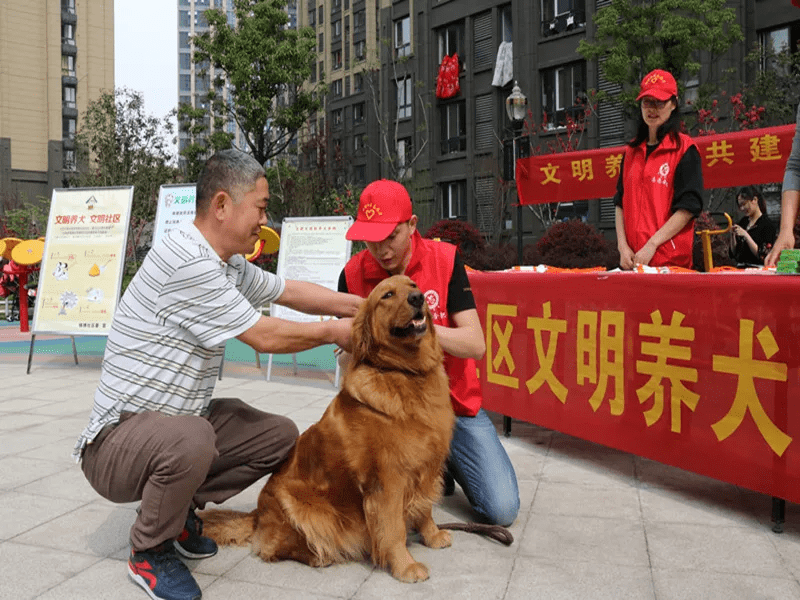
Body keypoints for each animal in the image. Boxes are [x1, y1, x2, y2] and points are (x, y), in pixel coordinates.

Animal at [198, 276, 456, 580]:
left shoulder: (427, 464)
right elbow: (393, 528)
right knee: (275, 548)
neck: (406, 373)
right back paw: (317, 556)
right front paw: (405, 566)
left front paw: (433, 535)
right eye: (388, 295)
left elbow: (426, 508)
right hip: (305, 508)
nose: (418, 298)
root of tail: (257, 514)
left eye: (413, 284)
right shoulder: (388, 478)